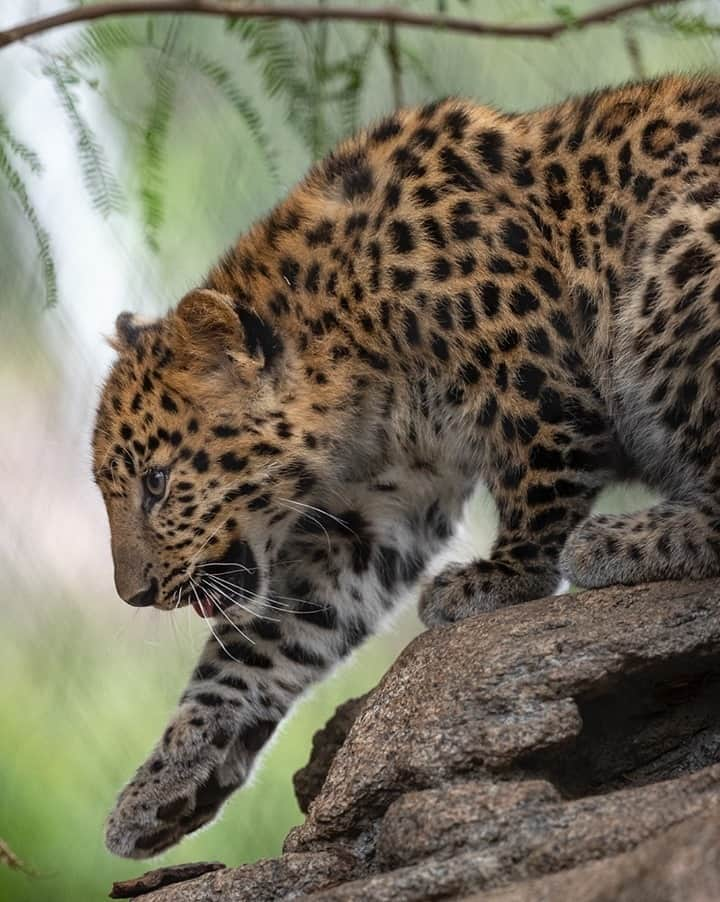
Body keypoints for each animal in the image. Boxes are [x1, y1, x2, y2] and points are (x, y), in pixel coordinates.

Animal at [93, 74, 720, 860]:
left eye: (157, 482)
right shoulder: (377, 509)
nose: (133, 595)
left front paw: (500, 578)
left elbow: (541, 479)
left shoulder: (535, 381)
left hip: (678, 255)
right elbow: (256, 647)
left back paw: (621, 542)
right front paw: (165, 780)